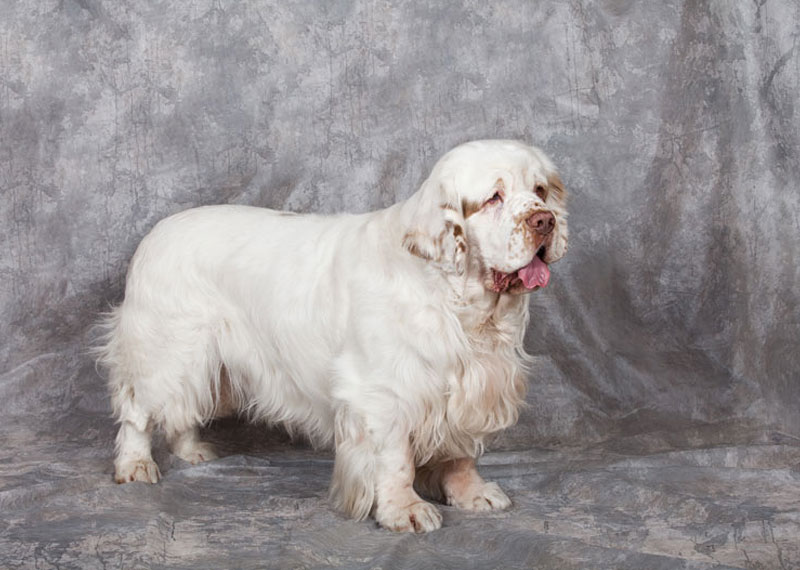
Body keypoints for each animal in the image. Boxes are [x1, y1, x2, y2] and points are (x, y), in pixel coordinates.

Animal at [95, 140, 568, 532]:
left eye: (541, 191)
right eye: (493, 198)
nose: (544, 221)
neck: (458, 301)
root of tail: (154, 234)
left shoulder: (471, 382)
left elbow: (461, 452)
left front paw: (471, 494)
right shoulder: (384, 392)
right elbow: (395, 460)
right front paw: (404, 510)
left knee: (183, 409)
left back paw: (191, 450)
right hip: (171, 350)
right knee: (139, 408)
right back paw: (135, 465)